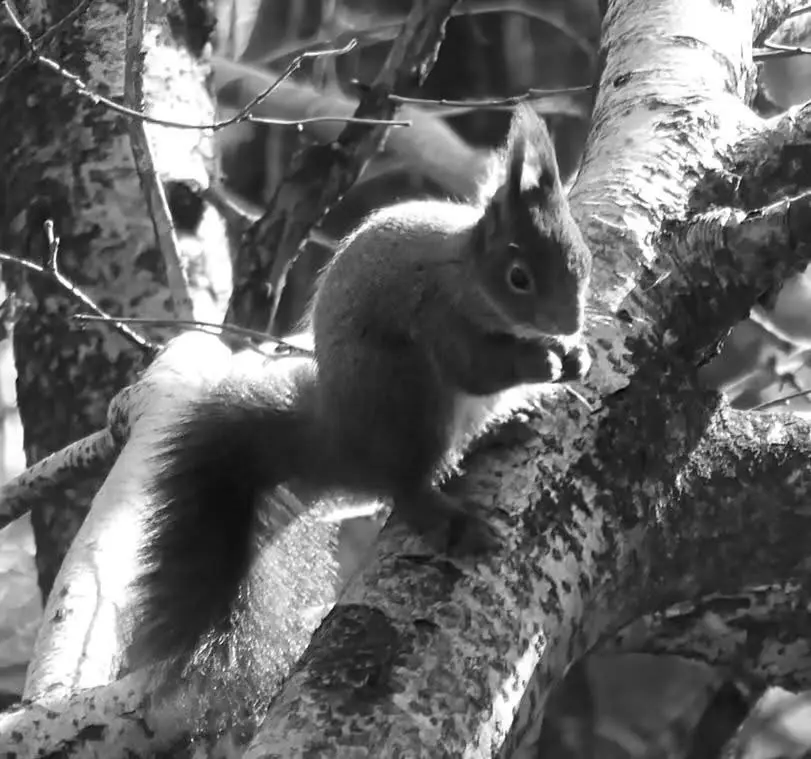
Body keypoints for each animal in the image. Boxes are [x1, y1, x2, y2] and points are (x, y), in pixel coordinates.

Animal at [128, 104, 593, 703]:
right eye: (519, 278)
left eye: (583, 258)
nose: (570, 323)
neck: (466, 272)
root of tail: (346, 445)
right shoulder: (437, 316)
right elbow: (474, 366)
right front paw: (544, 363)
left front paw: (575, 356)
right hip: (407, 395)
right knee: (407, 487)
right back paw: (450, 516)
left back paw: (505, 424)